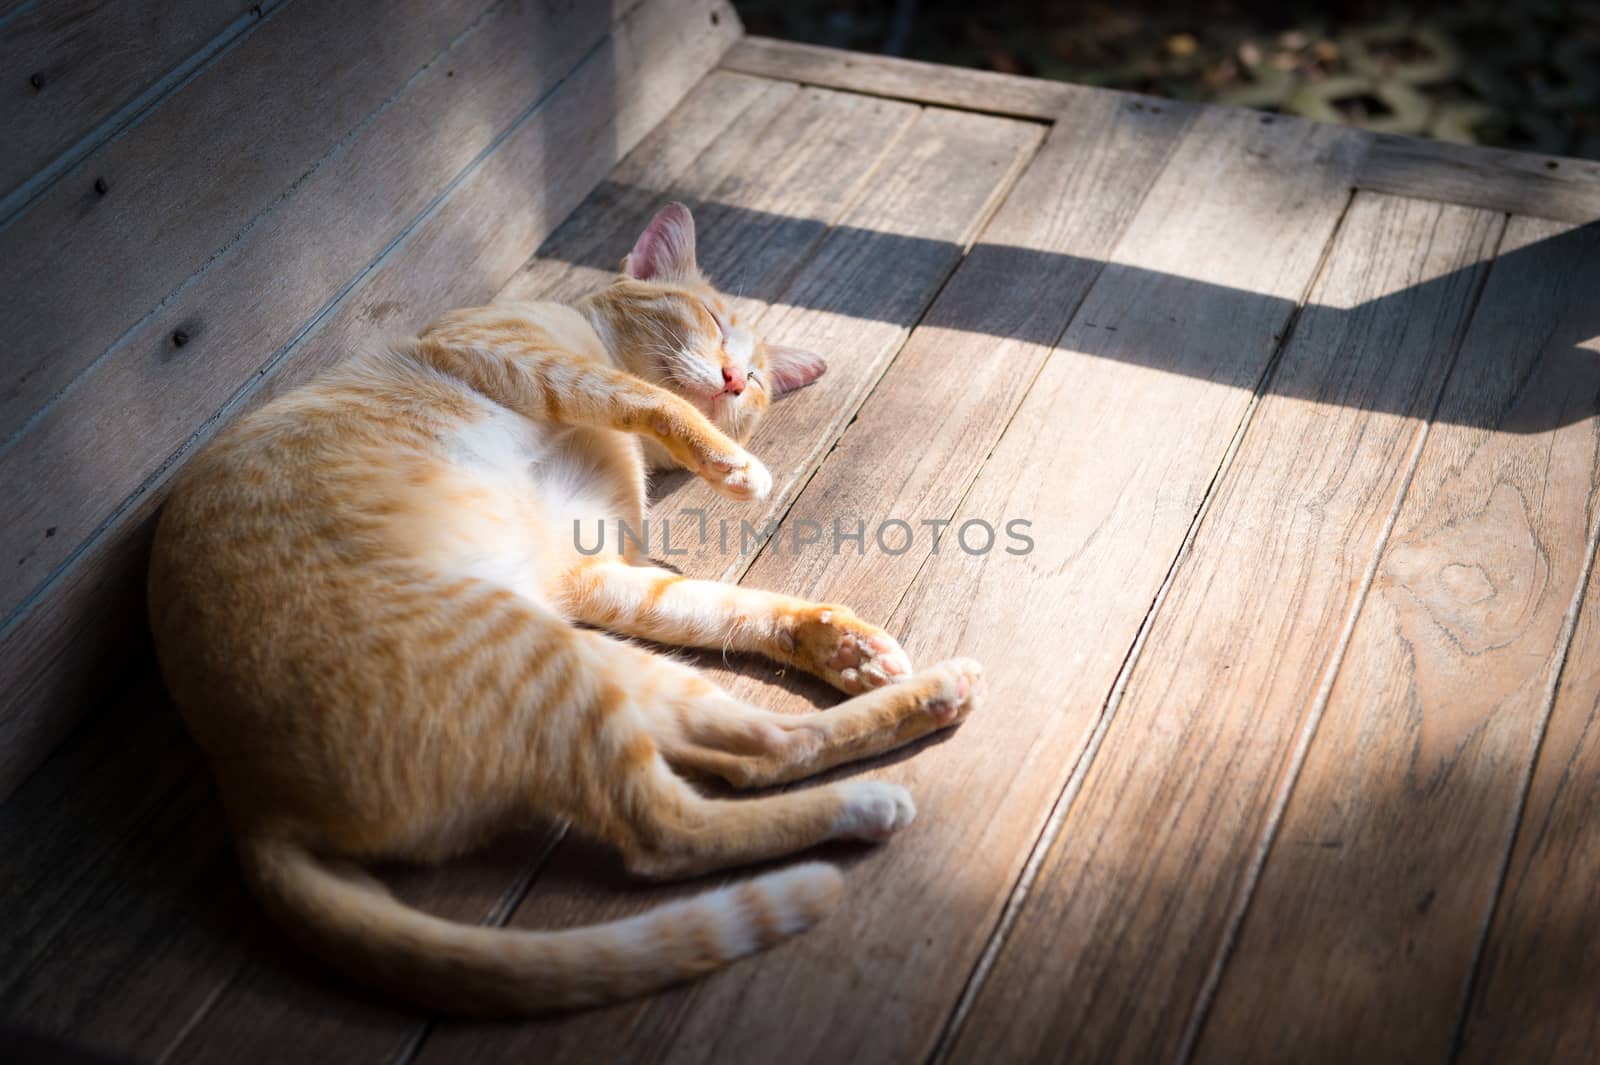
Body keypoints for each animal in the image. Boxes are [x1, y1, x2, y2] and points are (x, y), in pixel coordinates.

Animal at [144, 203, 979, 1010]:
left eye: (764, 380)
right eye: (712, 321)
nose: (736, 380)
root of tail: (248, 794)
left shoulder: (594, 573)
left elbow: (733, 608)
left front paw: (841, 644)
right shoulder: (521, 357)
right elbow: (645, 395)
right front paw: (733, 462)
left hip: (590, 658)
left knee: (757, 754)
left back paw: (927, 704)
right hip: (546, 657)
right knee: (669, 830)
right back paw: (866, 797)